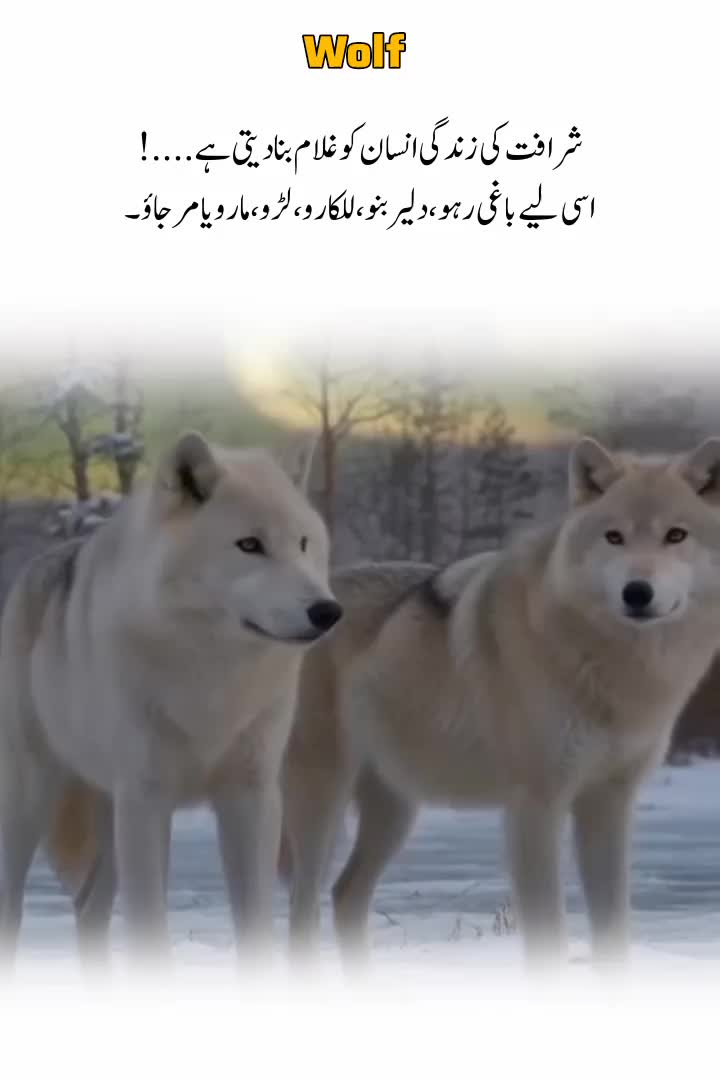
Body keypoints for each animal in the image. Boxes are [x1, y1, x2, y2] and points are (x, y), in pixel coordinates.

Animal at [0, 431, 342, 967]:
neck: (211, 674)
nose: (328, 611)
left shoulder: (251, 797)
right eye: (250, 545)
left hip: (109, 817)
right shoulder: (146, 800)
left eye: (304, 543)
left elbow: (255, 929)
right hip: (32, 797)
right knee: (13, 909)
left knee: (88, 909)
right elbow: (151, 933)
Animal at [281, 436, 720, 969]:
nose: (637, 592)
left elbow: (614, 932)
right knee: (302, 911)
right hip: (321, 804)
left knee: (345, 895)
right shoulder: (535, 806)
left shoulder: (609, 803)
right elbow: (549, 937)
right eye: (614, 537)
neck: (610, 664)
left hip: (395, 810)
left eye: (676, 535)